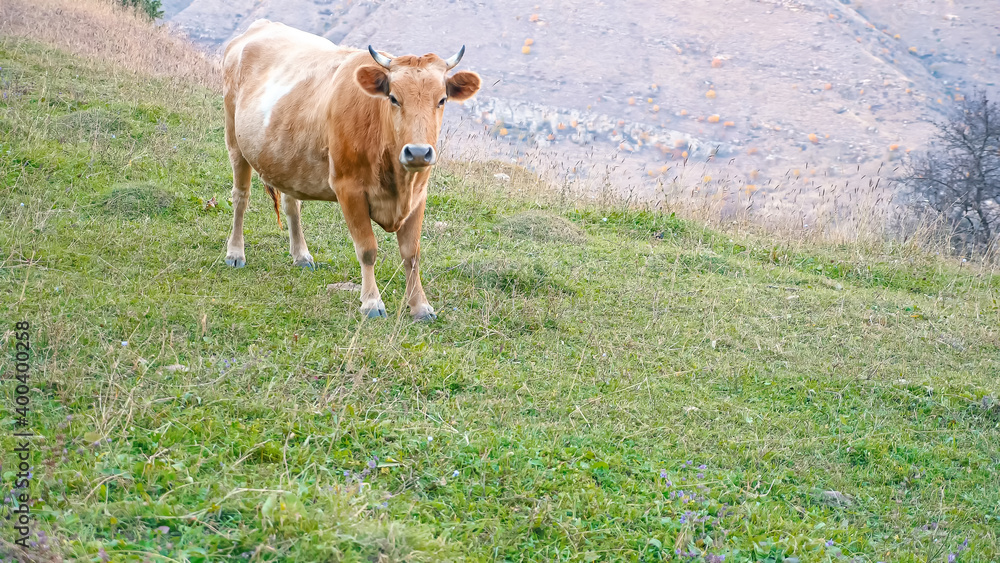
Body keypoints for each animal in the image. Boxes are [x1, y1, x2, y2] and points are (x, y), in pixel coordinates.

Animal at [220, 20, 484, 322]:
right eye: (393, 98)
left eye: (441, 100)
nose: (418, 152)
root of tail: (259, 27)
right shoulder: (349, 190)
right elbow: (367, 249)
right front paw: (371, 303)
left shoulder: (418, 195)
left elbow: (411, 254)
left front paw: (420, 306)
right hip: (234, 141)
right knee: (241, 197)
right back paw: (235, 252)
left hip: (287, 158)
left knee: (291, 204)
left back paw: (301, 255)